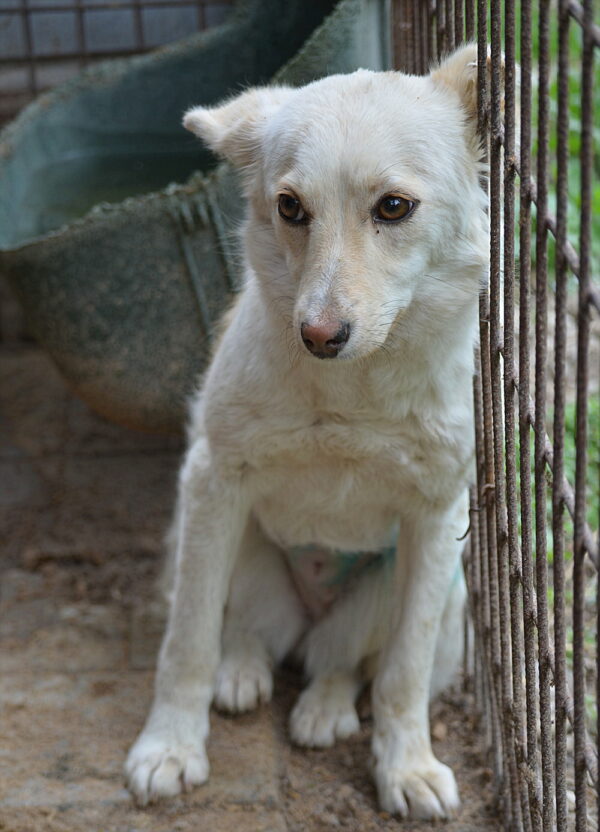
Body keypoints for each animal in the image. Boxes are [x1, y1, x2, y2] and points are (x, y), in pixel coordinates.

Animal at [125, 45, 488, 820]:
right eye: (291, 207)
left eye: (393, 207)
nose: (319, 335)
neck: (350, 397)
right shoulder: (213, 481)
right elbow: (187, 644)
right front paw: (168, 748)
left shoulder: (437, 516)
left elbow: (403, 676)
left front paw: (406, 767)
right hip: (208, 540)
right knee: (244, 631)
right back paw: (241, 672)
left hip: (445, 603)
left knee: (342, 663)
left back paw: (325, 708)